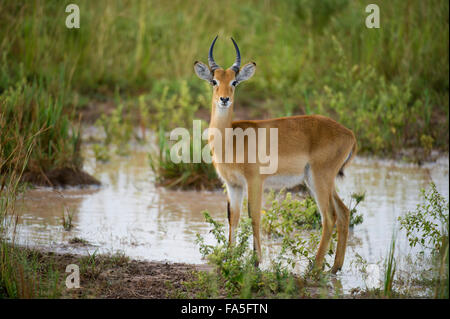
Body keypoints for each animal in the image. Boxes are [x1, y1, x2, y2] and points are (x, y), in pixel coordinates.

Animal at [195, 36, 356, 274]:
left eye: (234, 82)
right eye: (214, 81)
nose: (224, 99)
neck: (231, 139)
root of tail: (349, 133)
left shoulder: (254, 181)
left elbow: (253, 216)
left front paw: (256, 261)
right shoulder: (233, 184)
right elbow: (233, 217)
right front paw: (229, 256)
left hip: (320, 178)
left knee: (329, 216)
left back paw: (314, 267)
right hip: (316, 180)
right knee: (343, 212)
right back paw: (335, 267)